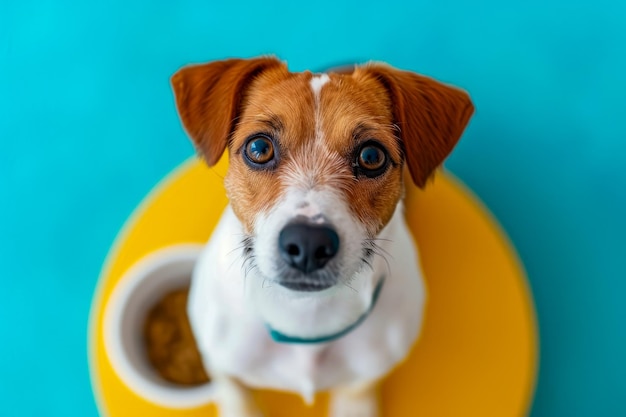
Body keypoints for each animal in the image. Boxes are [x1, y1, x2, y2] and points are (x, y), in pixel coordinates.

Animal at [168, 56, 470, 416]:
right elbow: (236, 395)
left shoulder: (368, 371)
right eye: (259, 147)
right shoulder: (223, 362)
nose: (308, 243)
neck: (305, 317)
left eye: (372, 156)